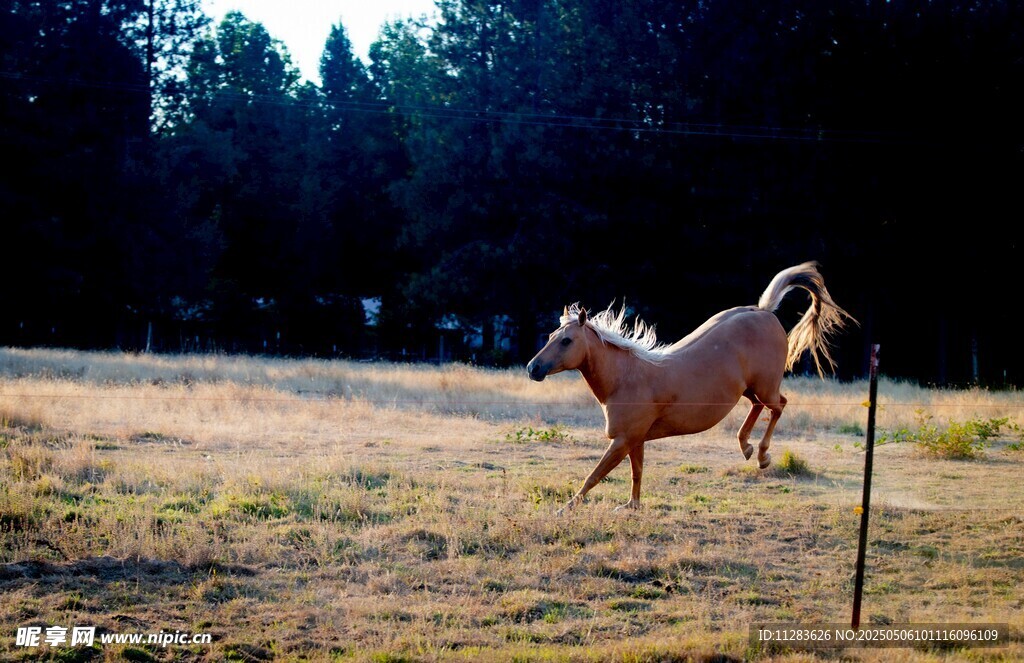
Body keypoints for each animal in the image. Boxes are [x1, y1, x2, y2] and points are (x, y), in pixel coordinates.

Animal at [526, 261, 854, 513]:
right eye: (552, 335)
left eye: (566, 340)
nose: (533, 368)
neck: (626, 378)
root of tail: (763, 310)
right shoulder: (635, 439)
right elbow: (637, 473)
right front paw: (632, 506)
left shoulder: (622, 440)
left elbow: (594, 476)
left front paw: (565, 509)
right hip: (749, 389)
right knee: (758, 407)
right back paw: (746, 447)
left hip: (767, 386)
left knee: (779, 405)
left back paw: (761, 456)